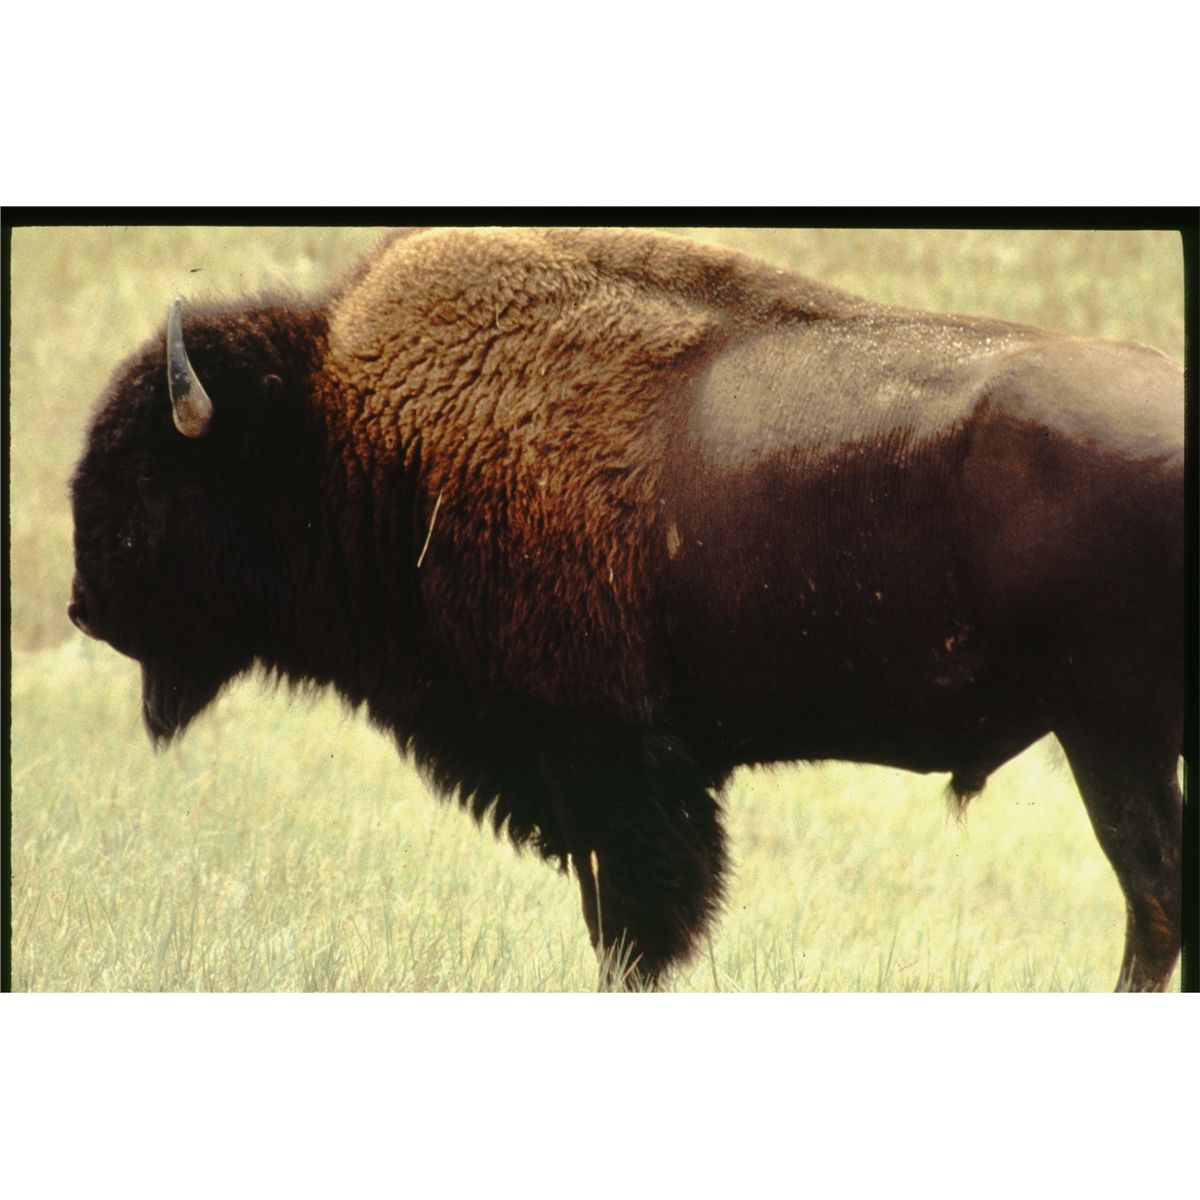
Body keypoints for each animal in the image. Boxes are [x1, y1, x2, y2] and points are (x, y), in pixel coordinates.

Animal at [68, 227, 1185, 990]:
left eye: (151, 475)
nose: (84, 608)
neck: (348, 427)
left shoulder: (612, 768)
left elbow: (636, 932)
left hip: (1110, 734)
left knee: (1153, 900)